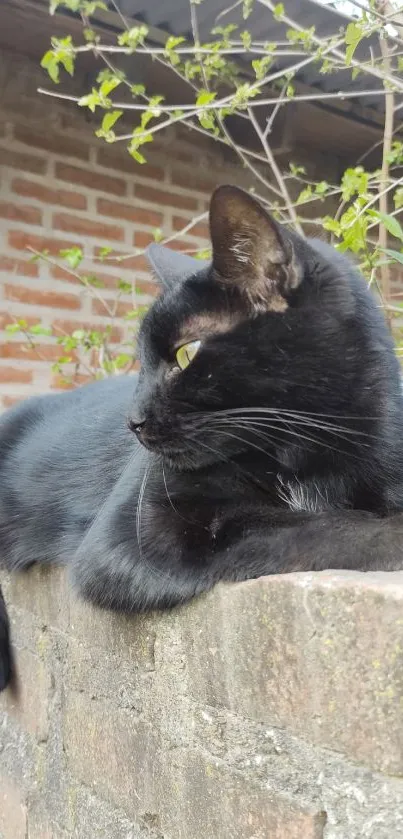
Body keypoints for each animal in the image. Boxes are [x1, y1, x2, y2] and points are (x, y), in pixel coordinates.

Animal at [0, 185, 403, 688]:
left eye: (185, 353)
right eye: (141, 360)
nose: (132, 420)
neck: (305, 452)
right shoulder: (130, 537)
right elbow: (295, 525)